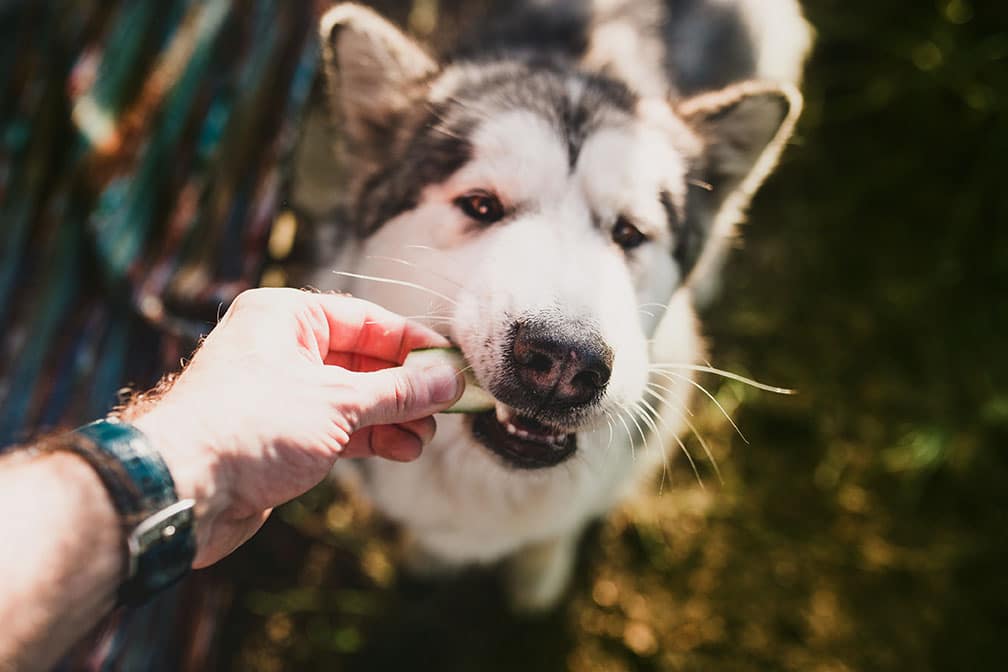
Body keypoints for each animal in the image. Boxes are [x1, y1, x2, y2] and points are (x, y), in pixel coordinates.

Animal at [306, 0, 810, 608]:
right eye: (480, 205)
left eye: (628, 233)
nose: (566, 360)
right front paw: (431, 559)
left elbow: (555, 533)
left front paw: (538, 577)